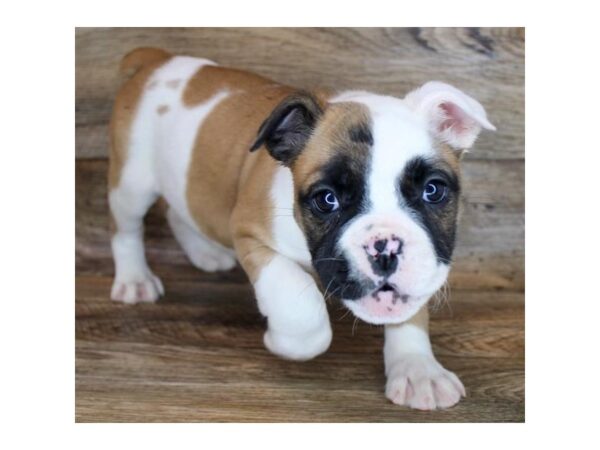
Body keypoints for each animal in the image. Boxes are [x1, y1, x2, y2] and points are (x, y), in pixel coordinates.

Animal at [109, 47, 496, 410]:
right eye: (326, 199)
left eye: (433, 190)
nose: (385, 247)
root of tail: (157, 59)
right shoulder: (251, 235)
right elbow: (301, 306)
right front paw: (282, 340)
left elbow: (411, 312)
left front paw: (418, 369)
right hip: (132, 184)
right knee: (126, 231)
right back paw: (135, 280)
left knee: (181, 211)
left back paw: (204, 252)